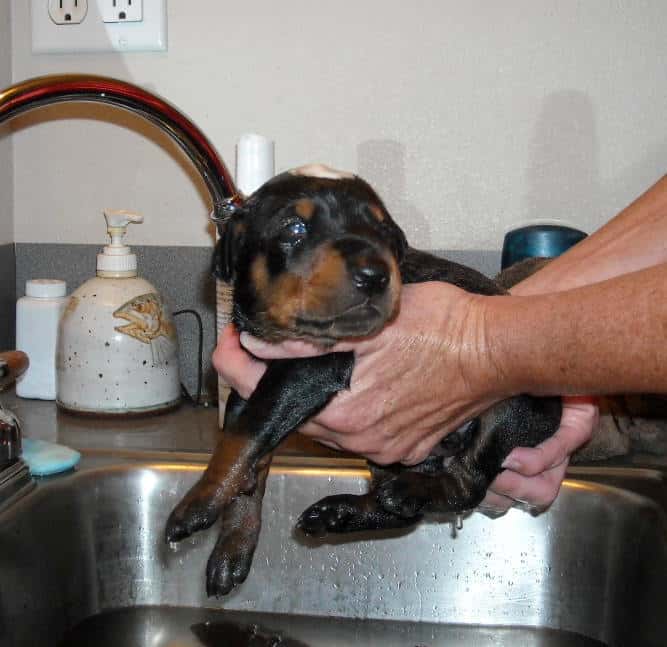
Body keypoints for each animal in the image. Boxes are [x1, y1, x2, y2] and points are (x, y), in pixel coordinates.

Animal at [164, 166, 560, 596]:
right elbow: (249, 455)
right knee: (406, 513)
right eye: (295, 228)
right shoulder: (246, 382)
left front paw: (198, 503)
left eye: (383, 231)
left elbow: (245, 434)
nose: (375, 275)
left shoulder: (312, 367)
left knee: (468, 483)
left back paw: (409, 491)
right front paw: (231, 547)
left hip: (512, 405)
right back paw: (342, 512)